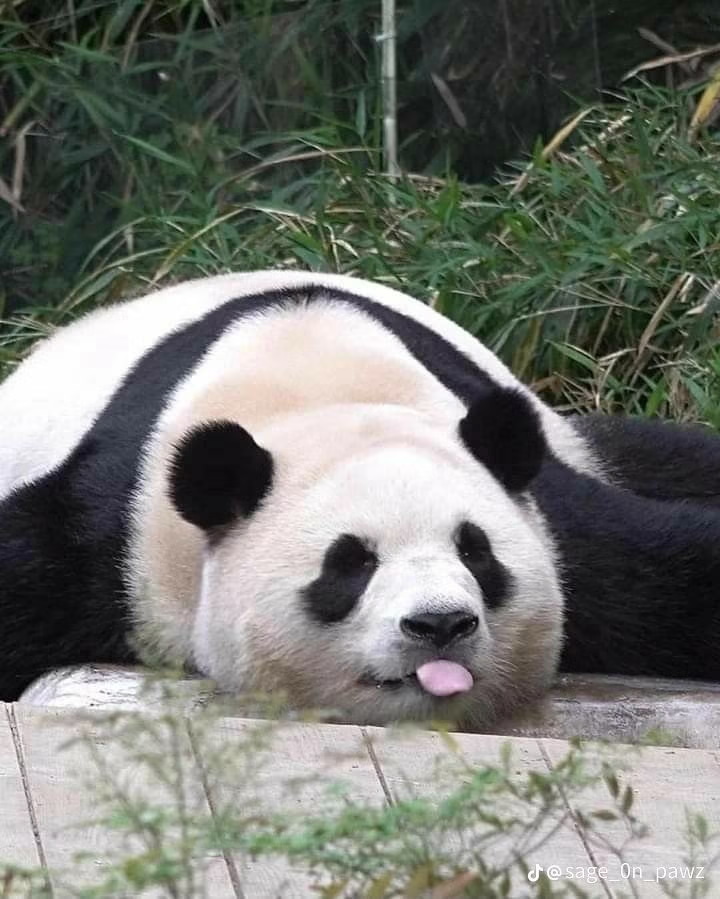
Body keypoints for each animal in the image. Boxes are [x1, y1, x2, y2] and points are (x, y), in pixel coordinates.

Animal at [1, 271, 719, 728]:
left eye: (476, 551)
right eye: (350, 563)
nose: (440, 625)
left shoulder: (558, 520)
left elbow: (666, 569)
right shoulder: (119, 528)